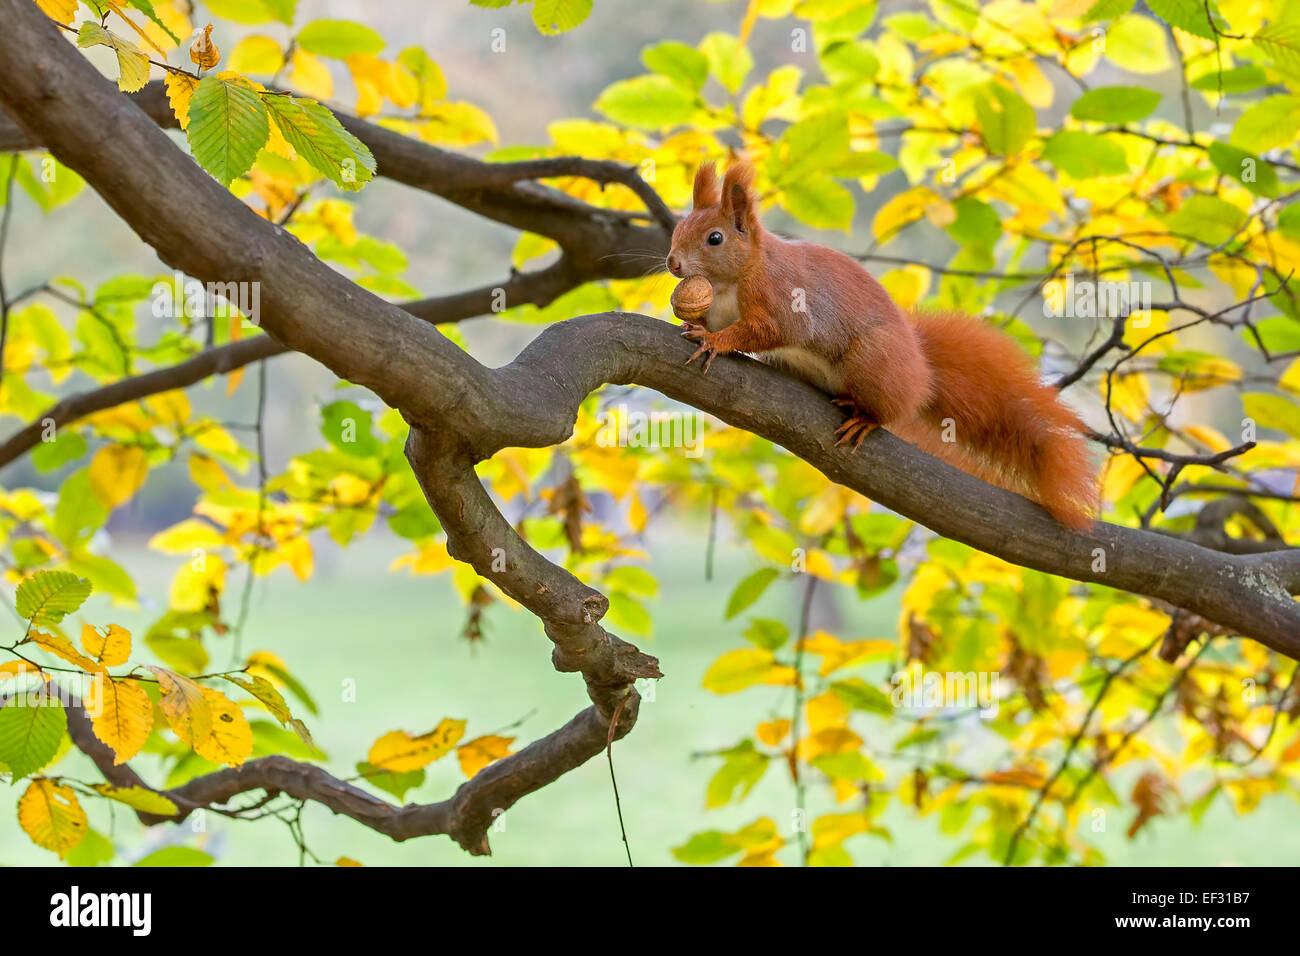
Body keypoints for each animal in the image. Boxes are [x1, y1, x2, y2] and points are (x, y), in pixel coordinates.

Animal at [665, 159, 1102, 528]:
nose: (672, 263)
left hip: (873, 360)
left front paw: (716, 341)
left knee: (888, 409)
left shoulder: (780, 299)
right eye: (677, 230)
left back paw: (865, 417)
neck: (731, 280)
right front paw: (694, 322)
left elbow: (769, 331)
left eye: (715, 238)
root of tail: (921, 371)